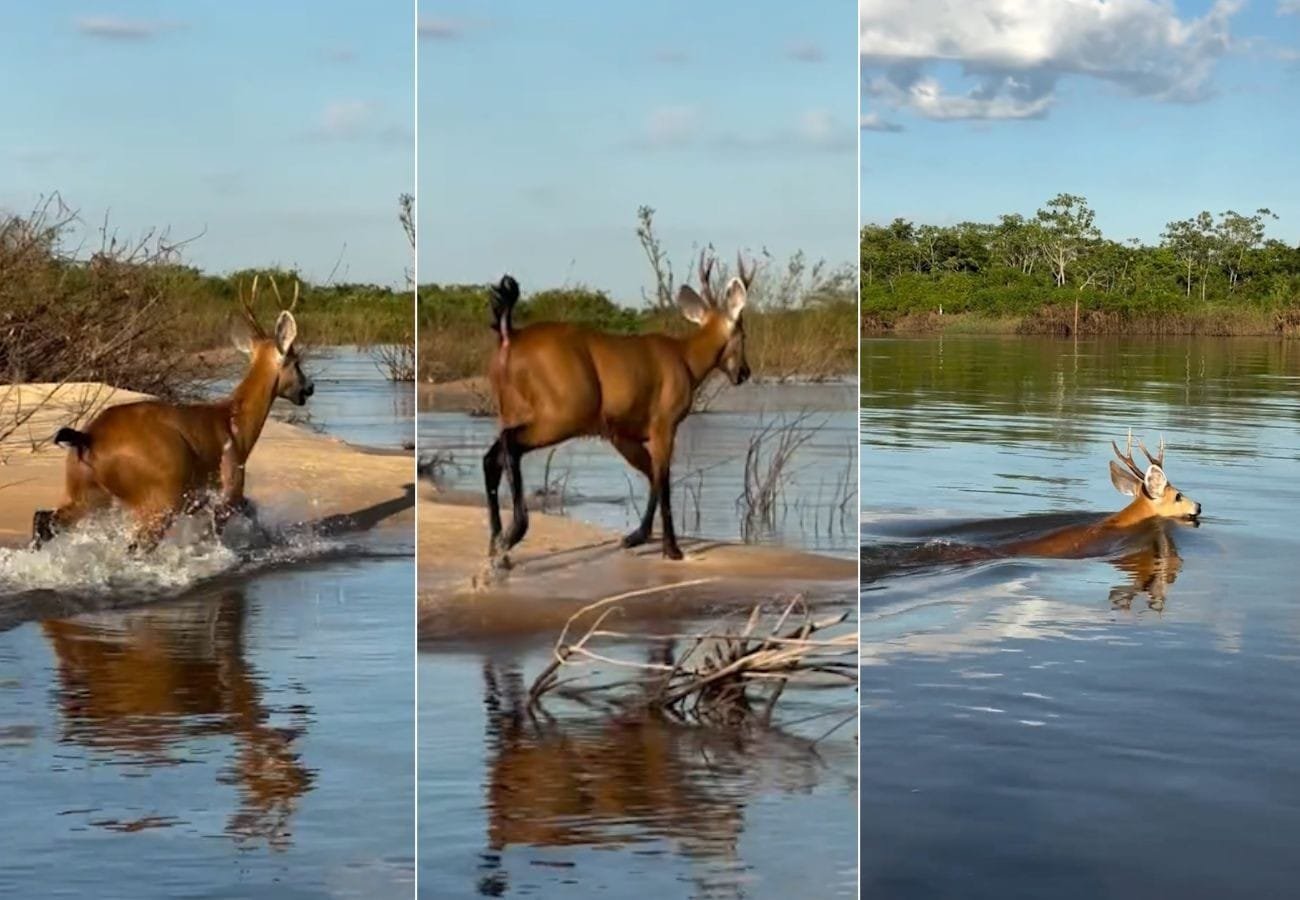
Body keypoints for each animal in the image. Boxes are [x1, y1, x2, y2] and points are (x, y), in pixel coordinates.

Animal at [31, 276, 314, 551]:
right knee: (136, 546)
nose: (309, 388)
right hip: (160, 496)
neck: (235, 424)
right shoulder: (228, 489)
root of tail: (87, 438)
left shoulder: (206, 500)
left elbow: (251, 512)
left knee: (43, 519)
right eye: (296, 362)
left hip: (86, 492)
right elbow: (226, 527)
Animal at [483, 251, 755, 563]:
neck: (685, 359)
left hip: (510, 410)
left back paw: (496, 546)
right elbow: (663, 478)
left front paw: (637, 536)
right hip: (563, 414)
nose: (744, 372)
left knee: (492, 457)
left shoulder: (621, 433)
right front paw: (671, 548)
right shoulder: (664, 424)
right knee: (510, 444)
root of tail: (510, 336)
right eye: (742, 334)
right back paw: (512, 534)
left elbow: (653, 476)